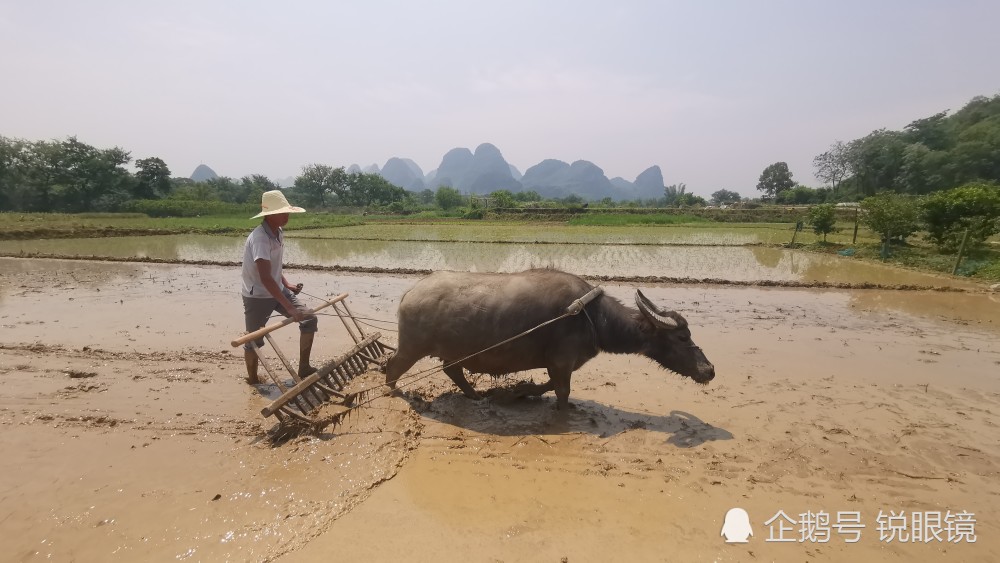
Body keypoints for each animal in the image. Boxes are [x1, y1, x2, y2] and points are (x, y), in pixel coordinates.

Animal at [380, 268, 712, 410]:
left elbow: (549, 385)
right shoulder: (562, 361)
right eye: (682, 336)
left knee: (452, 369)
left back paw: (475, 395)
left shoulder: (559, 364)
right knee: (392, 366)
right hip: (411, 347)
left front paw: (517, 392)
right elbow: (562, 392)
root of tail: (410, 293)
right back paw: (394, 392)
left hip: (452, 351)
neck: (591, 316)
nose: (709, 370)